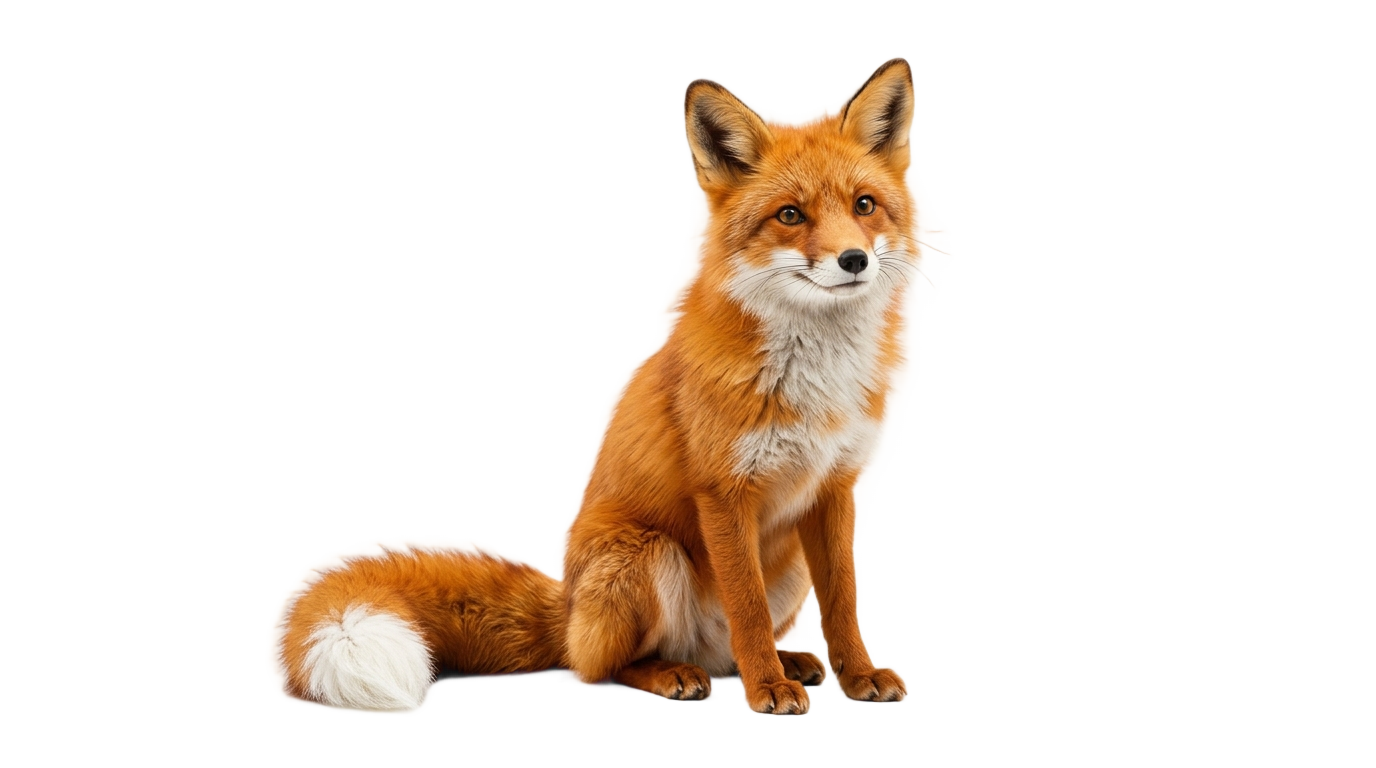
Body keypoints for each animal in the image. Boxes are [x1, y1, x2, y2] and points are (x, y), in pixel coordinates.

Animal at [278, 59, 919, 714]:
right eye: (790, 215)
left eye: (865, 205)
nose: (854, 260)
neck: (814, 380)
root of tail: (566, 607)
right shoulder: (723, 493)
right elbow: (749, 610)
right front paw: (767, 687)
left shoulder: (835, 487)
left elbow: (841, 602)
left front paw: (857, 673)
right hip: (649, 555)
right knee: (599, 667)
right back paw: (681, 674)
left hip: (782, 568)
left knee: (714, 654)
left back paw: (782, 662)